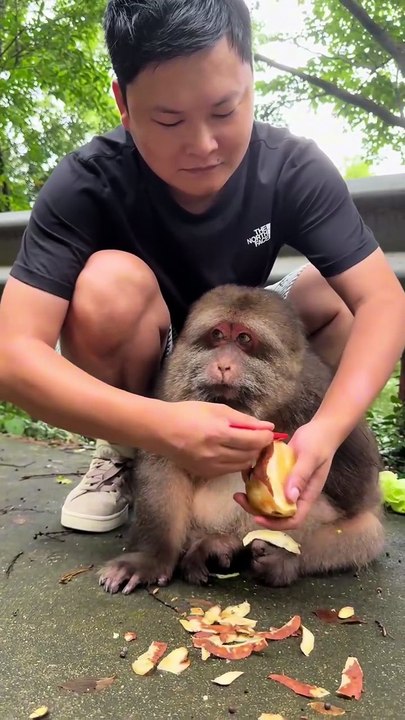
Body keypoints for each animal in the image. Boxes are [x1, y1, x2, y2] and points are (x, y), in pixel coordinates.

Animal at [99, 284, 384, 593]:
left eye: (244, 339)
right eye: (217, 335)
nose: (223, 365)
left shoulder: (316, 396)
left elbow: (358, 493)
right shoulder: (171, 395)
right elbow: (162, 459)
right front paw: (150, 557)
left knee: (367, 531)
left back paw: (269, 558)